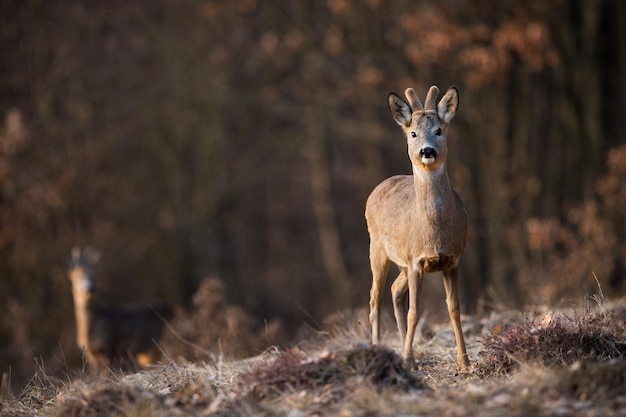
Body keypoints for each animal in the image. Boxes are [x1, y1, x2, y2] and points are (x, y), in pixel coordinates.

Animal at [366, 83, 468, 368]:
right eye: (413, 133)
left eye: (439, 130)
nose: (427, 151)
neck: (434, 232)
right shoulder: (415, 260)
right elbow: (415, 311)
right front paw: (407, 357)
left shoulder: (452, 260)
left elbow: (454, 309)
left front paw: (465, 362)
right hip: (377, 248)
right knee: (375, 299)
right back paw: (382, 350)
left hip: (400, 262)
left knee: (394, 290)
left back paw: (405, 352)